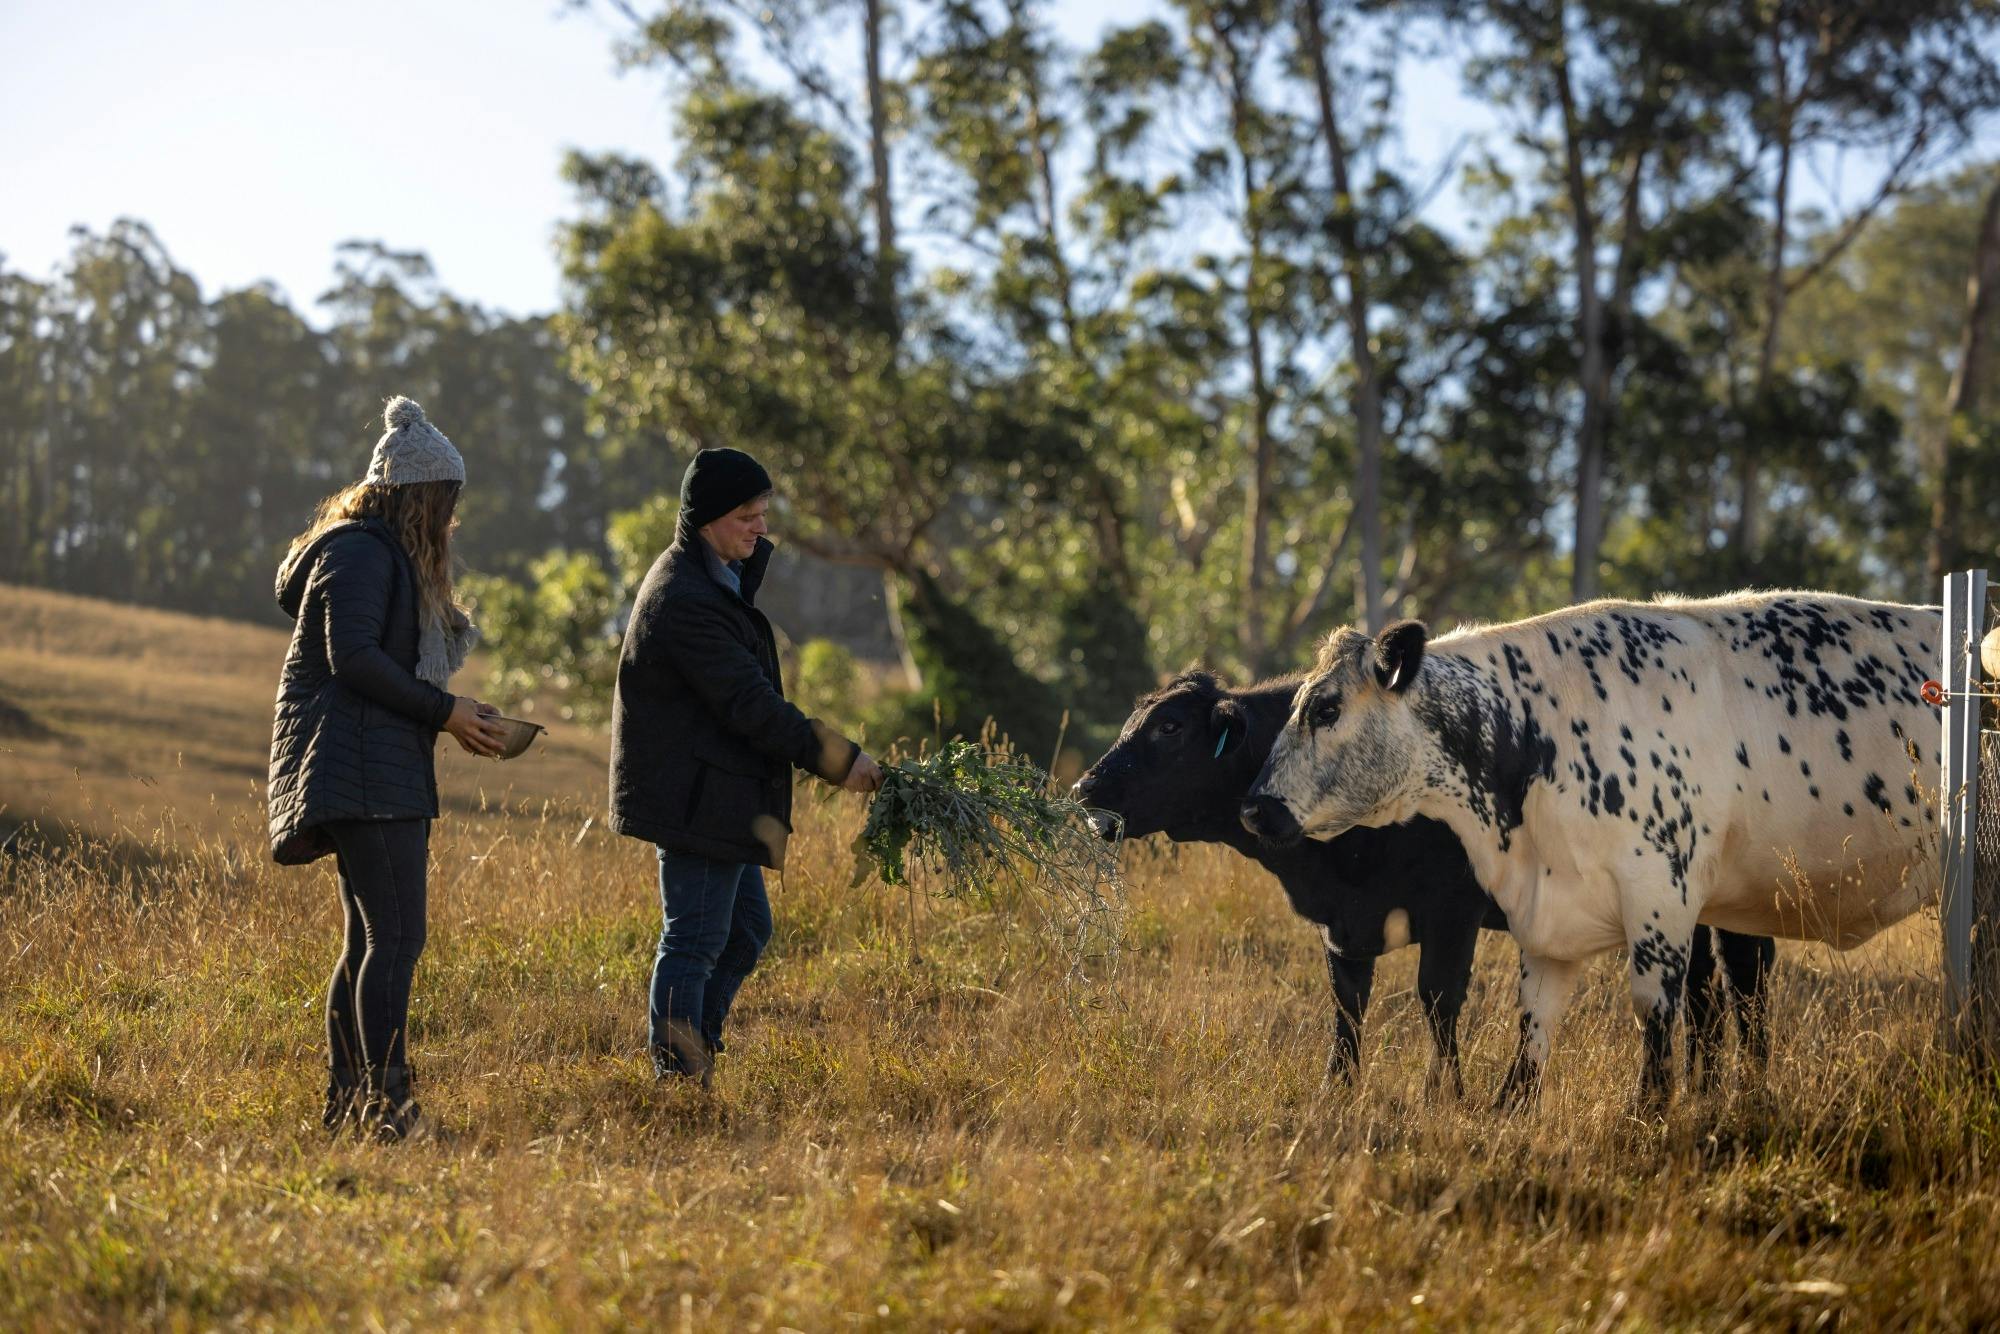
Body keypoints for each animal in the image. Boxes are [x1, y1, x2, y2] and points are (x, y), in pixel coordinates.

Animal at [1076, 669, 1775, 1097]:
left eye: (1170, 727)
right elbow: (1347, 1008)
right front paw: (1337, 1092)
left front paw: (1447, 1094)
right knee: (1707, 991)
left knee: (1745, 979)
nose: (1086, 786)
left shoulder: (1451, 913)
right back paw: (1711, 1087)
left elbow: (1439, 1001)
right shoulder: (1343, 926)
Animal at [1241, 591, 1939, 1108]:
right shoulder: (1546, 917)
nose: (1254, 808)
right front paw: (1509, 1109)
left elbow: (1656, 1012)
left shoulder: (1661, 899)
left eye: (1326, 708)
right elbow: (1533, 1024)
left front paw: (1648, 1113)